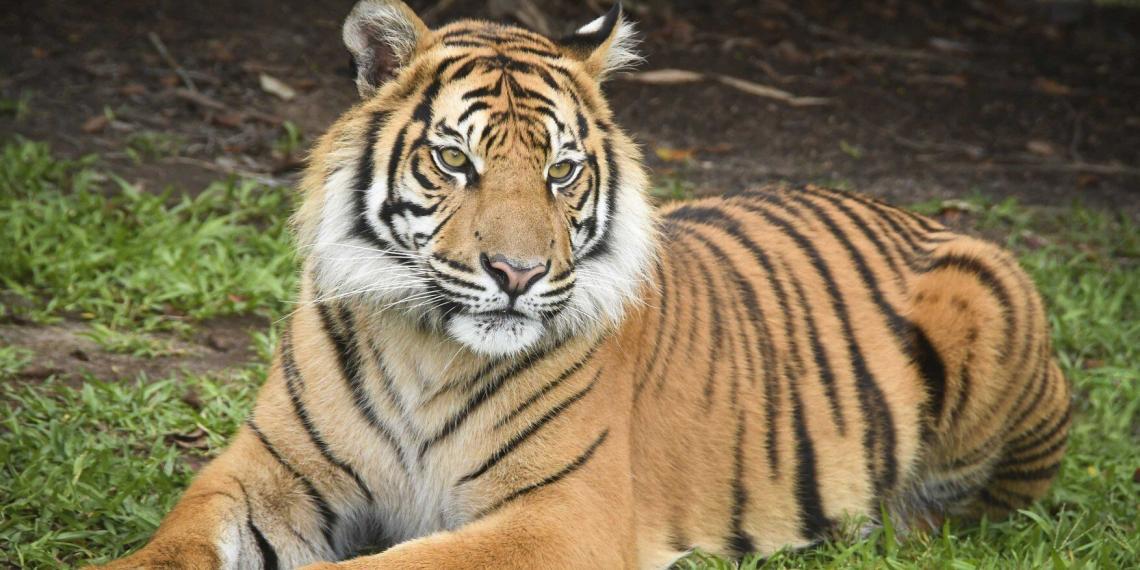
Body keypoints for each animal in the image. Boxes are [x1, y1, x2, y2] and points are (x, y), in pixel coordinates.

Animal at [93, 1, 1073, 568]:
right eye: (455, 161)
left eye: (561, 171)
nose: (518, 274)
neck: (422, 343)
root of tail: (910, 208)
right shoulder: (264, 473)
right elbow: (175, 541)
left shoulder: (560, 516)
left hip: (985, 297)